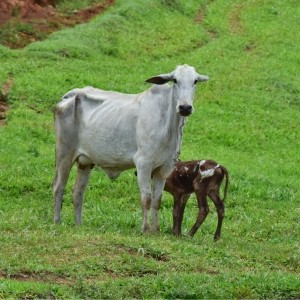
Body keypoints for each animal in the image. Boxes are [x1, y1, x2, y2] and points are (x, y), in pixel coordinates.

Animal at [52, 64, 209, 233]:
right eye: (175, 80)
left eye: (195, 81)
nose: (185, 107)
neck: (168, 124)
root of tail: (72, 95)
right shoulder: (143, 164)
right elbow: (146, 198)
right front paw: (145, 229)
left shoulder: (164, 168)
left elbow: (157, 200)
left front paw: (155, 230)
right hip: (64, 153)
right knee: (58, 186)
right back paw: (57, 221)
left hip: (85, 162)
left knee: (78, 192)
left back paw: (79, 225)